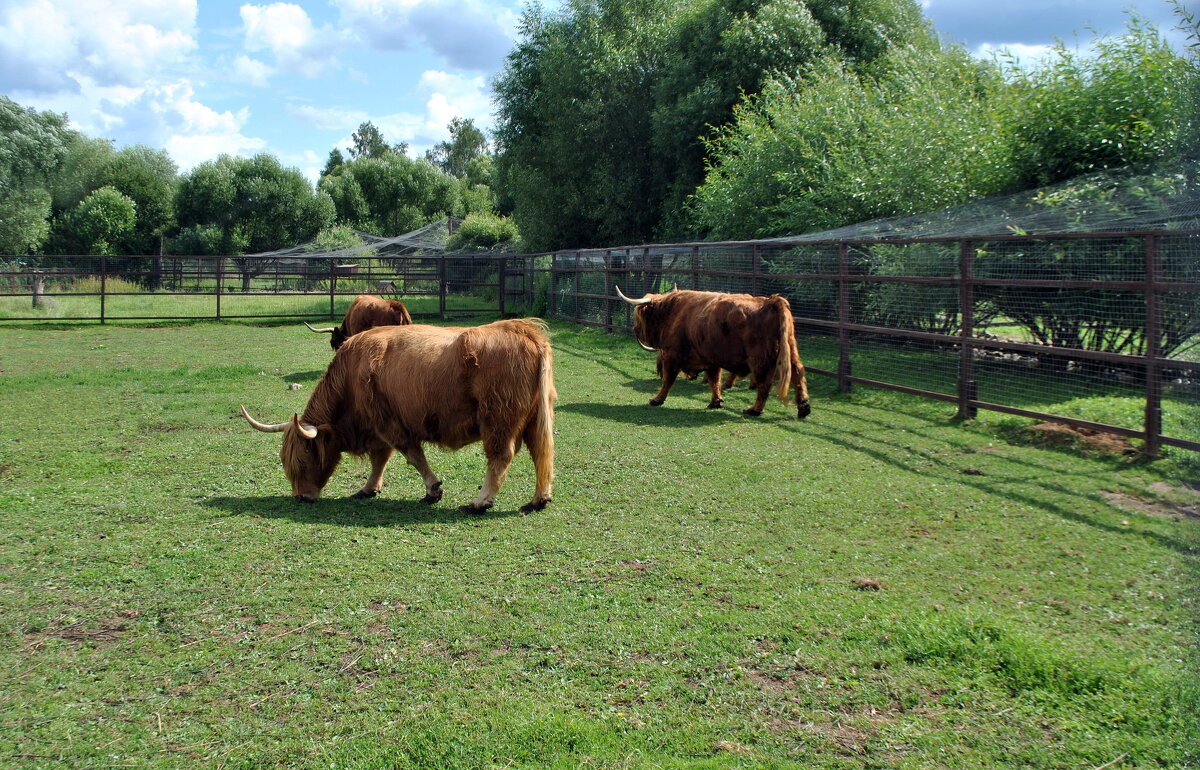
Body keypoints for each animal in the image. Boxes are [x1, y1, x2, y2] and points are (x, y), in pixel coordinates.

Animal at [247, 314, 561, 513]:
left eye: (302, 459)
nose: (301, 497)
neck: (349, 377)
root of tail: (523, 330)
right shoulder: (377, 428)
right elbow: (380, 460)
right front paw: (369, 488)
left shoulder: (389, 424)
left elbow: (412, 456)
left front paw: (433, 490)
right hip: (535, 417)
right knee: (541, 452)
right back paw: (538, 499)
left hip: (497, 419)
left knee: (501, 456)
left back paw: (480, 502)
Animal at [614, 286, 811, 417]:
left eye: (638, 316)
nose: (635, 329)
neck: (672, 312)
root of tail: (772, 301)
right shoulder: (710, 358)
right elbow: (714, 380)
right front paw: (716, 401)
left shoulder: (673, 354)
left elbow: (668, 380)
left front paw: (657, 399)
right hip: (790, 350)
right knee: (798, 372)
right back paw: (803, 407)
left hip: (759, 358)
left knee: (764, 383)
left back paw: (754, 410)